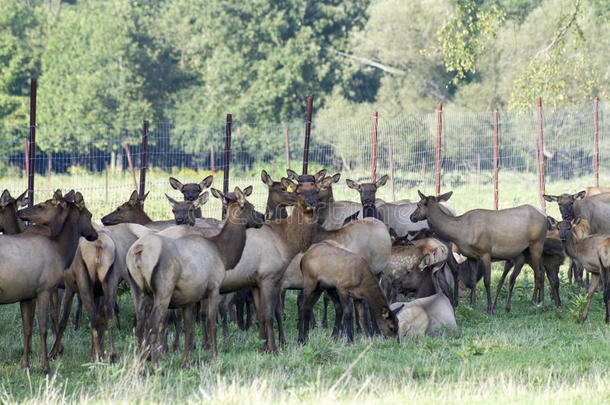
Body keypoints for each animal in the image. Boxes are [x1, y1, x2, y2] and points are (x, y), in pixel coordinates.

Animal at [0, 189, 97, 372]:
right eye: (89, 215)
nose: (95, 234)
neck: (60, 250)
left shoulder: (27, 294)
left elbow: (27, 328)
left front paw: (25, 365)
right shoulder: (44, 288)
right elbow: (43, 328)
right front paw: (45, 366)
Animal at [127, 186, 262, 370]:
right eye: (251, 206)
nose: (262, 218)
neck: (223, 252)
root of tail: (138, 250)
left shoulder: (190, 296)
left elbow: (188, 327)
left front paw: (186, 361)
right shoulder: (213, 287)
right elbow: (212, 321)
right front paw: (214, 356)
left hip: (137, 290)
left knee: (140, 324)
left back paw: (140, 365)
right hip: (163, 290)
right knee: (153, 323)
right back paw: (156, 365)